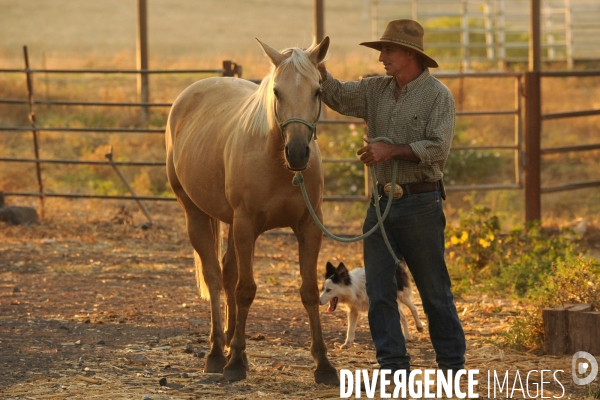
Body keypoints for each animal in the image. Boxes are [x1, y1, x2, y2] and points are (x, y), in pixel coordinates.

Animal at [164, 37, 340, 384]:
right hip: (196, 214)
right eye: (277, 92)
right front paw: (235, 363)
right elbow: (245, 290)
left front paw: (324, 364)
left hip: (231, 223)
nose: (297, 152)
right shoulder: (246, 226)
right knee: (215, 277)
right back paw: (218, 353)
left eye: (317, 91)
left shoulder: (309, 227)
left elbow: (309, 291)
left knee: (228, 272)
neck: (277, 162)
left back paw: (233, 343)